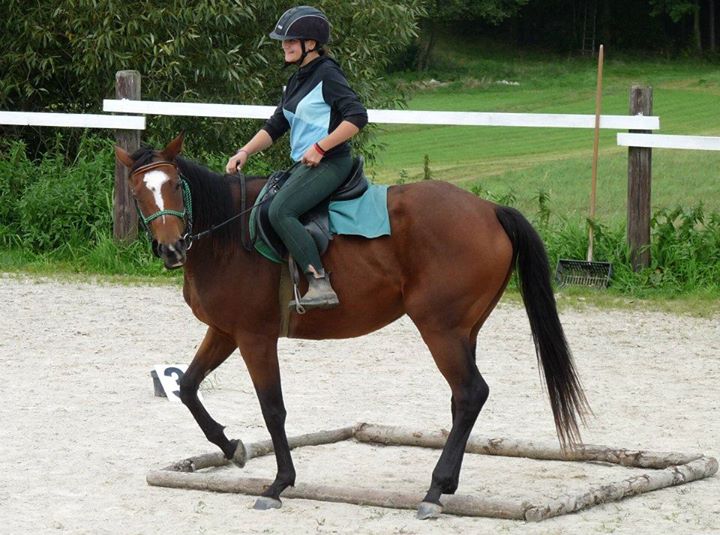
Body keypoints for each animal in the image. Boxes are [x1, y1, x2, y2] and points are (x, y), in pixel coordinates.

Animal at [115, 134, 588, 520]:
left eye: (174, 185)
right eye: (139, 191)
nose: (172, 249)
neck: (229, 234)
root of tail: (489, 210)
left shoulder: (254, 337)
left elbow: (273, 409)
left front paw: (279, 483)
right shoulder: (225, 332)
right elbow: (188, 387)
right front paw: (232, 449)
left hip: (440, 329)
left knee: (471, 392)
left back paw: (434, 491)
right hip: (463, 331)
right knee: (463, 399)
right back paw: (446, 484)